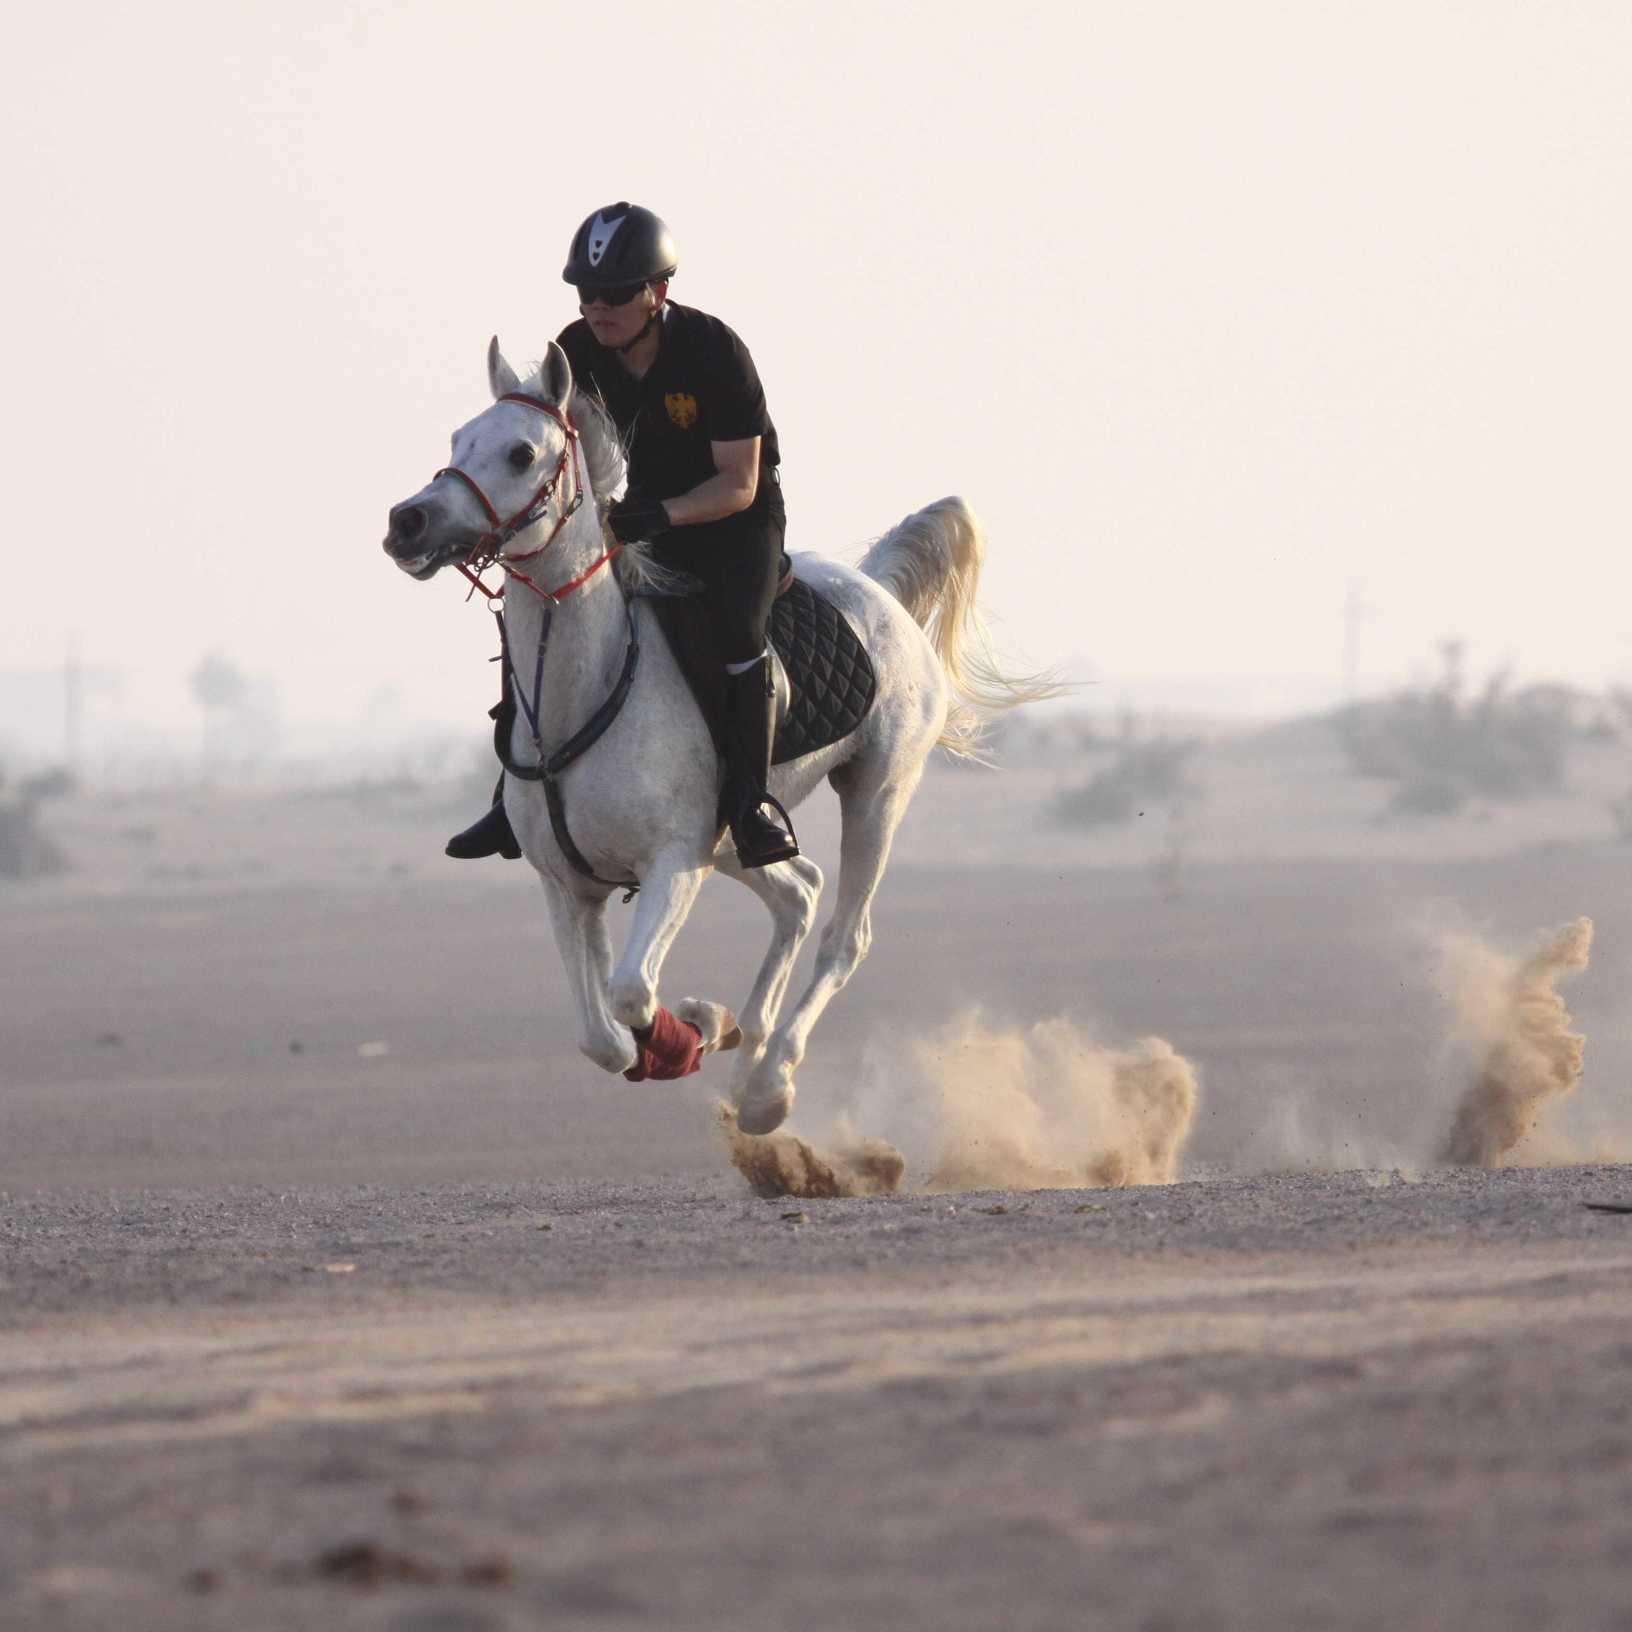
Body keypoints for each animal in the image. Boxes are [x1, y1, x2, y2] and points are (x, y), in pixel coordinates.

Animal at [383, 337, 1051, 1135]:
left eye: (520, 453)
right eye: (458, 440)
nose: (408, 522)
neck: (587, 689)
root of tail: (878, 588)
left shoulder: (675, 863)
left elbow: (630, 993)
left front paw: (686, 1038)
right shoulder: (568, 884)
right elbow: (600, 1034)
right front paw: (702, 1026)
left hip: (876, 793)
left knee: (843, 934)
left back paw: (767, 1088)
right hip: (737, 832)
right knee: (798, 893)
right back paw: (746, 1036)